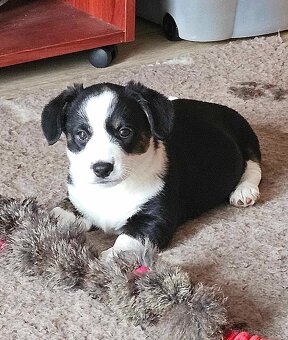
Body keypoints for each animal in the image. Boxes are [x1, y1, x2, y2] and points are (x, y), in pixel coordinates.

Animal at [42, 82, 260, 256]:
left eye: (124, 132)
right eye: (81, 134)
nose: (102, 169)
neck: (113, 190)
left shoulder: (154, 221)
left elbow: (124, 244)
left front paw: (104, 262)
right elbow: (68, 208)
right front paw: (50, 221)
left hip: (247, 138)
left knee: (253, 166)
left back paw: (244, 191)